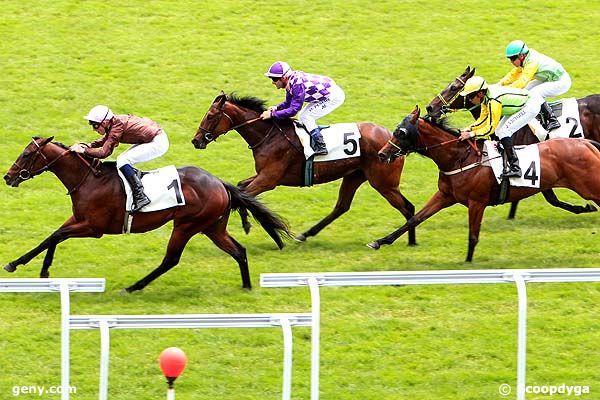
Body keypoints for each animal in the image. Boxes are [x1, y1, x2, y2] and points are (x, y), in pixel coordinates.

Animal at [3, 137, 290, 290]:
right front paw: (30, 267)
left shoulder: (93, 228)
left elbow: (57, 235)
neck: (88, 180)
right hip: (212, 227)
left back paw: (134, 287)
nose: (7, 177)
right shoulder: (78, 219)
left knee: (170, 260)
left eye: (26, 154)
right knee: (239, 251)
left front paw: (27, 267)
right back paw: (246, 286)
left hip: (186, 225)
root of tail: (220, 183)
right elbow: (53, 236)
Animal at [192, 92, 418, 245]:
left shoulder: (268, 179)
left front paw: (246, 224)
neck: (269, 135)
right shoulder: (262, 175)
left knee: (408, 208)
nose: (196, 140)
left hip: (383, 182)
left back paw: (408, 241)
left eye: (210, 116)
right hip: (355, 175)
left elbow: (244, 195)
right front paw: (246, 222)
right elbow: (241, 188)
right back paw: (305, 234)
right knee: (341, 207)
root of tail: (392, 138)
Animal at [368, 106, 600, 262]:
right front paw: (379, 241)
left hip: (591, 185)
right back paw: (585, 208)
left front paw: (468, 262)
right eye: (396, 129)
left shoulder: (477, 202)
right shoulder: (445, 196)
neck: (460, 158)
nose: (382, 154)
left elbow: (473, 235)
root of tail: (585, 143)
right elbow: (414, 219)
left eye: (401, 132)